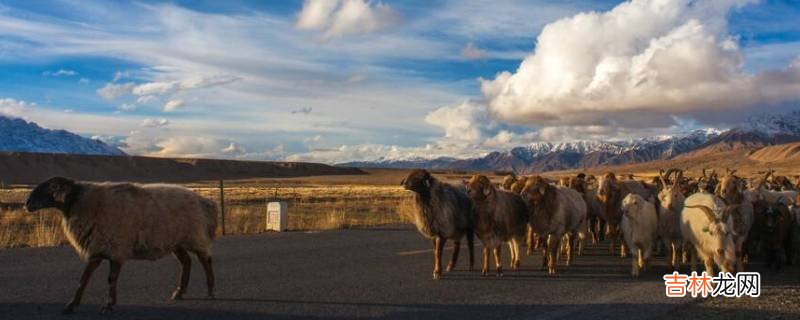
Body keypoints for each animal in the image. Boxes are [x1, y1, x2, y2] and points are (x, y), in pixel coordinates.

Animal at [25, 178, 219, 316]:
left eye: (49, 188)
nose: (26, 204)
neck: (82, 203)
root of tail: (204, 201)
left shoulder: (115, 249)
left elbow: (111, 278)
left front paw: (109, 305)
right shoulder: (97, 250)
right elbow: (83, 278)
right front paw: (71, 305)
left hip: (194, 236)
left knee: (206, 260)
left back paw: (210, 292)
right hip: (176, 241)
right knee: (186, 262)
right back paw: (179, 292)